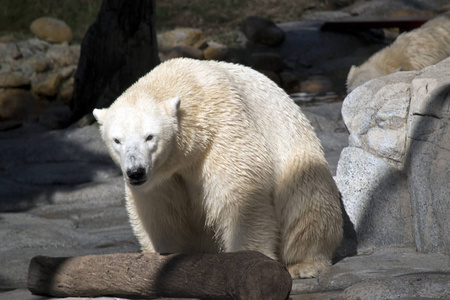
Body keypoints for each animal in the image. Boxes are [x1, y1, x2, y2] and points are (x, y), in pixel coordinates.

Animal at [93, 57, 342, 278]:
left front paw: (246, 260)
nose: (135, 172)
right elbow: (159, 214)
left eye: (149, 136)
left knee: (306, 202)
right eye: (117, 140)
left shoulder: (223, 130)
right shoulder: (161, 178)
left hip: (299, 156)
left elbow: (241, 197)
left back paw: (304, 264)